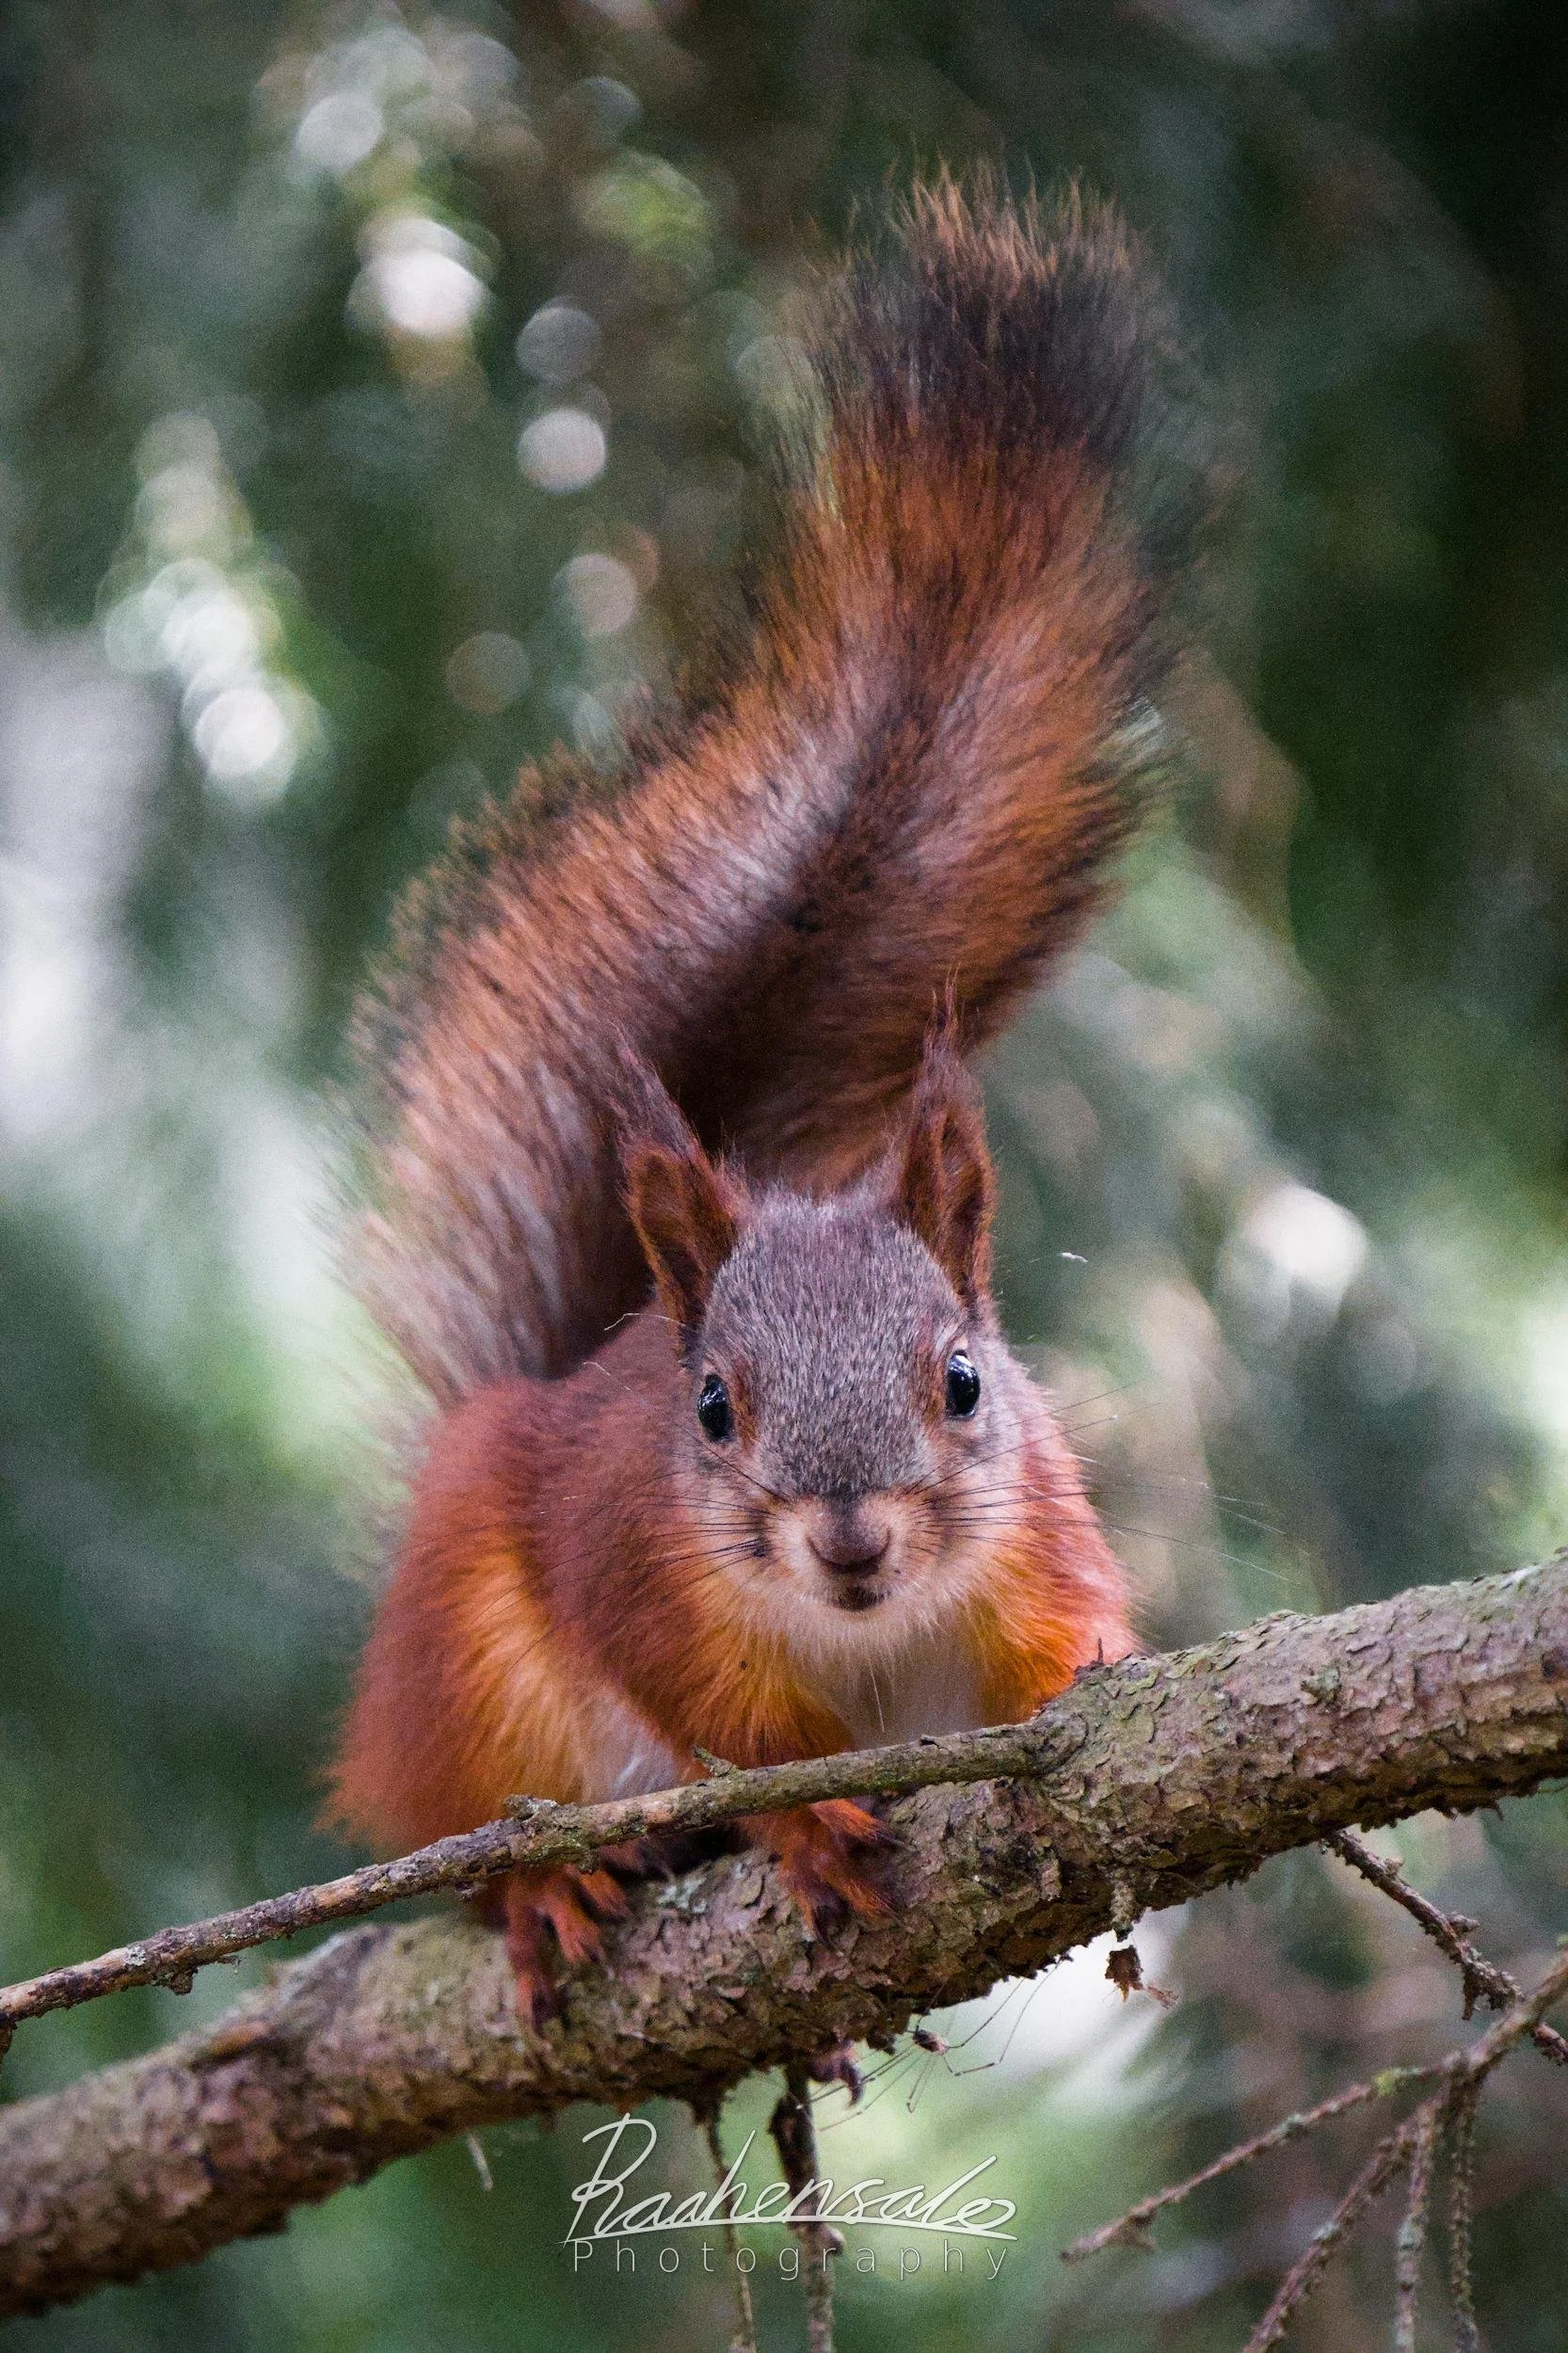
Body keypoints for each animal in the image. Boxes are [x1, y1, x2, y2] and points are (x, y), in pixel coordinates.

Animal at [328, 175, 1183, 2030]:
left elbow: (1070, 1638)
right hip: (463, 1682)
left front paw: (1098, 1689)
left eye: (963, 1377)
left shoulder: (1035, 1527)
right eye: (712, 1411)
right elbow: (735, 1732)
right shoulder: (645, 1580)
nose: (851, 1540)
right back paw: (551, 1882)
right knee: (477, 1834)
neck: (856, 1639)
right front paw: (798, 1828)